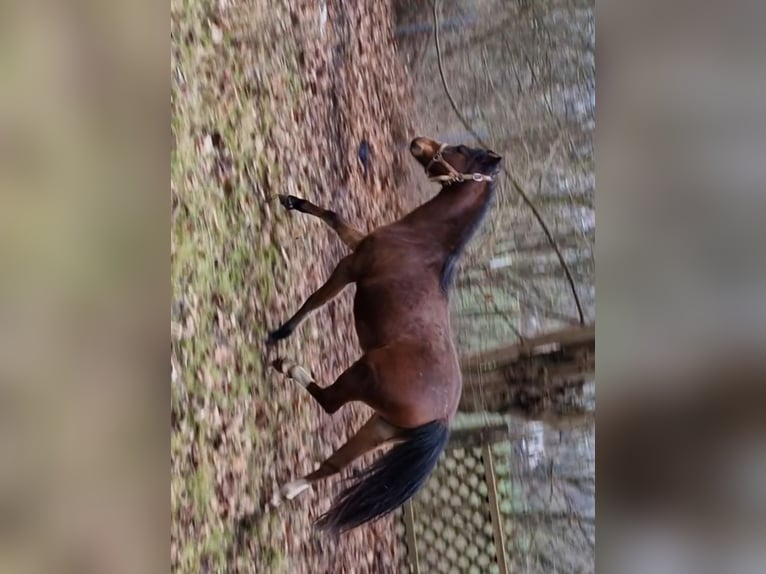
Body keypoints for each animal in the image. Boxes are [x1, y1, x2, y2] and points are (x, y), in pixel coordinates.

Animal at [266, 136, 504, 536]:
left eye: (459, 149)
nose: (419, 142)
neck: (421, 243)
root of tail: (442, 419)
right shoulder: (356, 244)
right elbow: (333, 215)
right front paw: (292, 201)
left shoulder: (350, 266)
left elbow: (314, 301)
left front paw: (281, 332)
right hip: (380, 428)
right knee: (333, 465)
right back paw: (282, 493)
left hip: (363, 375)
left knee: (329, 401)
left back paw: (287, 366)